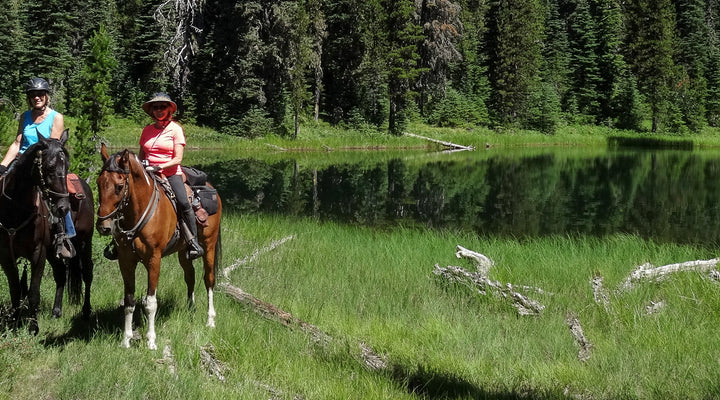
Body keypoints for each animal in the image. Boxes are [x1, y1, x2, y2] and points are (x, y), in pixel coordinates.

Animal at [0, 130, 85, 334]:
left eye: (67, 165)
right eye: (50, 166)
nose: (63, 208)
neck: (16, 209)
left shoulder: (38, 253)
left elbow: (33, 292)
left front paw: (33, 328)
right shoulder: (6, 255)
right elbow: (15, 290)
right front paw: (14, 323)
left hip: (84, 242)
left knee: (87, 274)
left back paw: (86, 312)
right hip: (53, 252)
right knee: (61, 273)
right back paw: (56, 311)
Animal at [96, 144, 222, 350]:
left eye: (119, 186)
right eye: (99, 183)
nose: (103, 226)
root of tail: (211, 188)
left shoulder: (153, 260)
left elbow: (150, 302)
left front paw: (151, 341)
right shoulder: (125, 260)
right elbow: (129, 301)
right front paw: (126, 340)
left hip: (209, 245)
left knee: (208, 279)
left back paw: (210, 320)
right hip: (183, 252)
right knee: (190, 277)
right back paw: (191, 310)